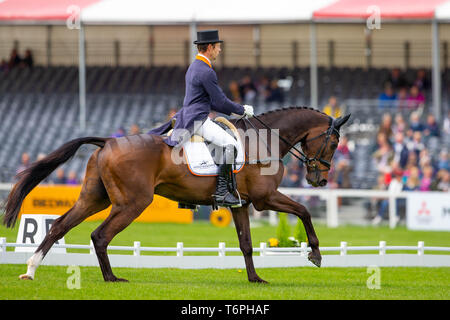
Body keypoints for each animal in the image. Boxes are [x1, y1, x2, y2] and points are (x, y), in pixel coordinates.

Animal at [1, 107, 350, 282]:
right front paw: (316, 254)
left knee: (60, 225)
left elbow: (247, 244)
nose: (319, 179)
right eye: (334, 142)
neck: (264, 138)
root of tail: (109, 141)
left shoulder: (242, 204)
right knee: (100, 235)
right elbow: (304, 210)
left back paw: (30, 269)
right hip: (132, 203)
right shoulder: (266, 199)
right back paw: (111, 278)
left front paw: (255, 280)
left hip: (94, 198)